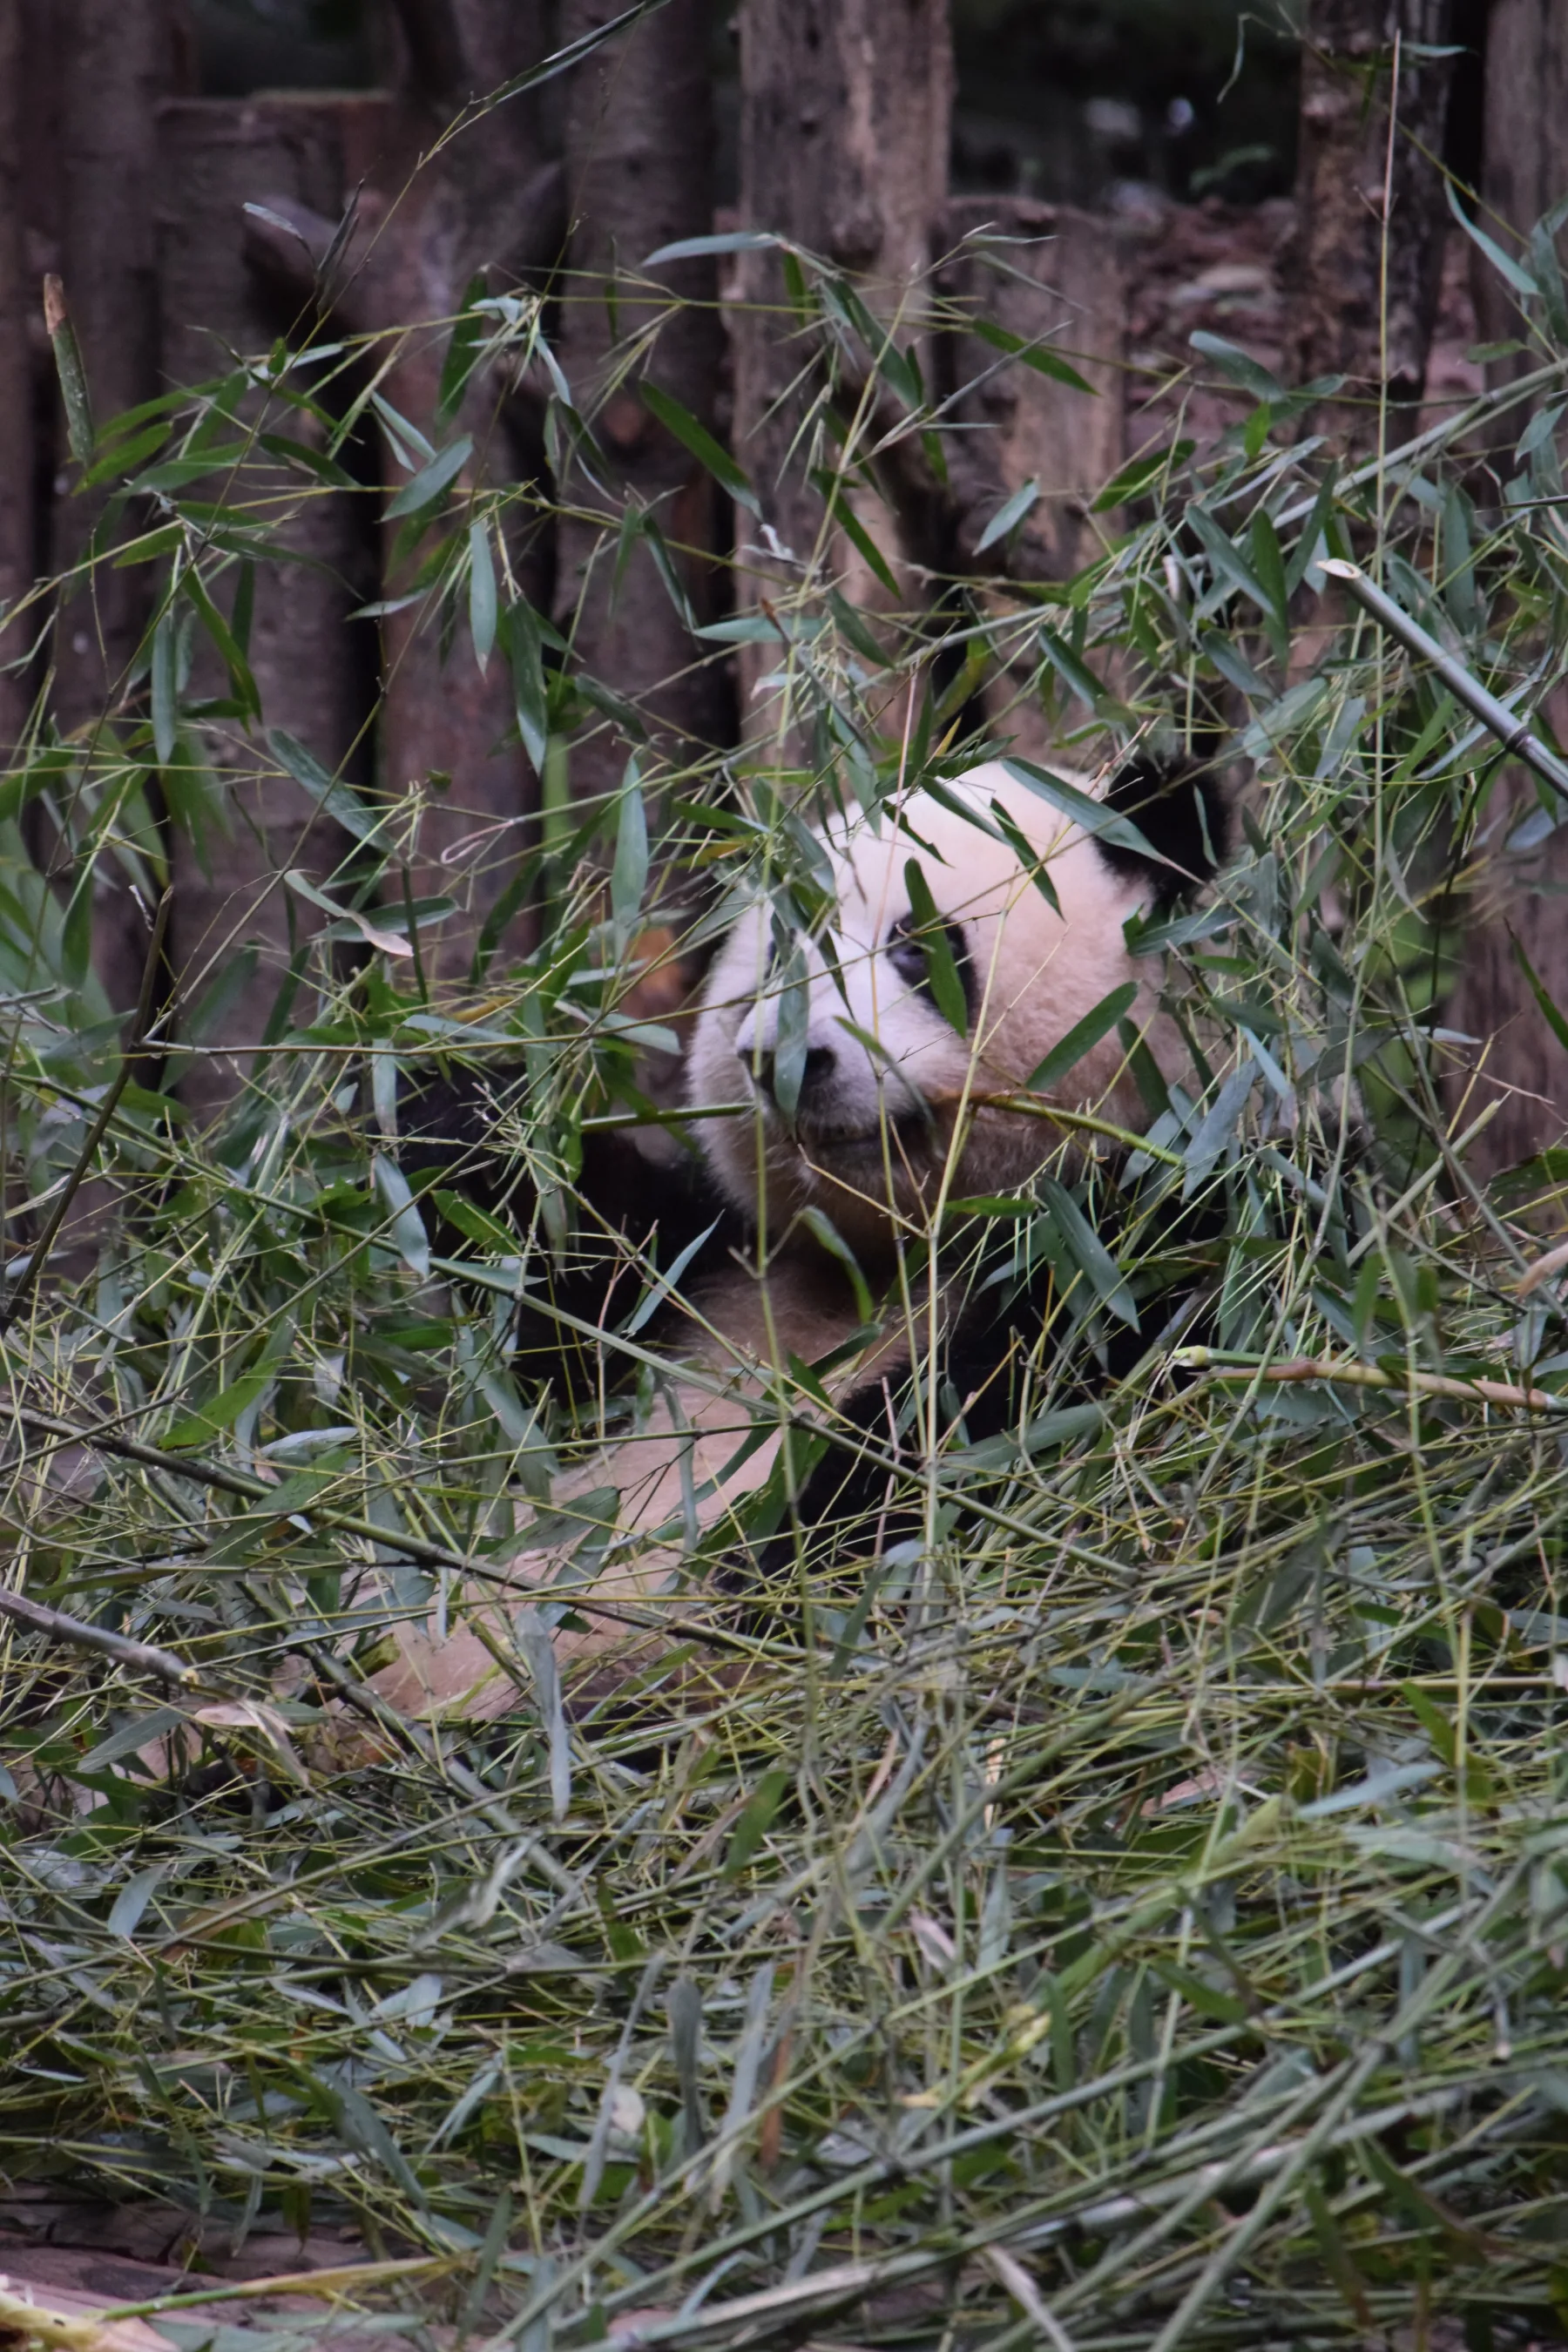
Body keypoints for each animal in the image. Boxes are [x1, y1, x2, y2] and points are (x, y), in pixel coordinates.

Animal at [372, 748, 1226, 1722]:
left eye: (917, 947)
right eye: (776, 961)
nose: (787, 1060)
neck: (892, 1249)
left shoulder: (1137, 1241)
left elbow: (985, 1431)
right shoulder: (715, 1269)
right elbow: (572, 1317)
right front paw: (459, 1115)